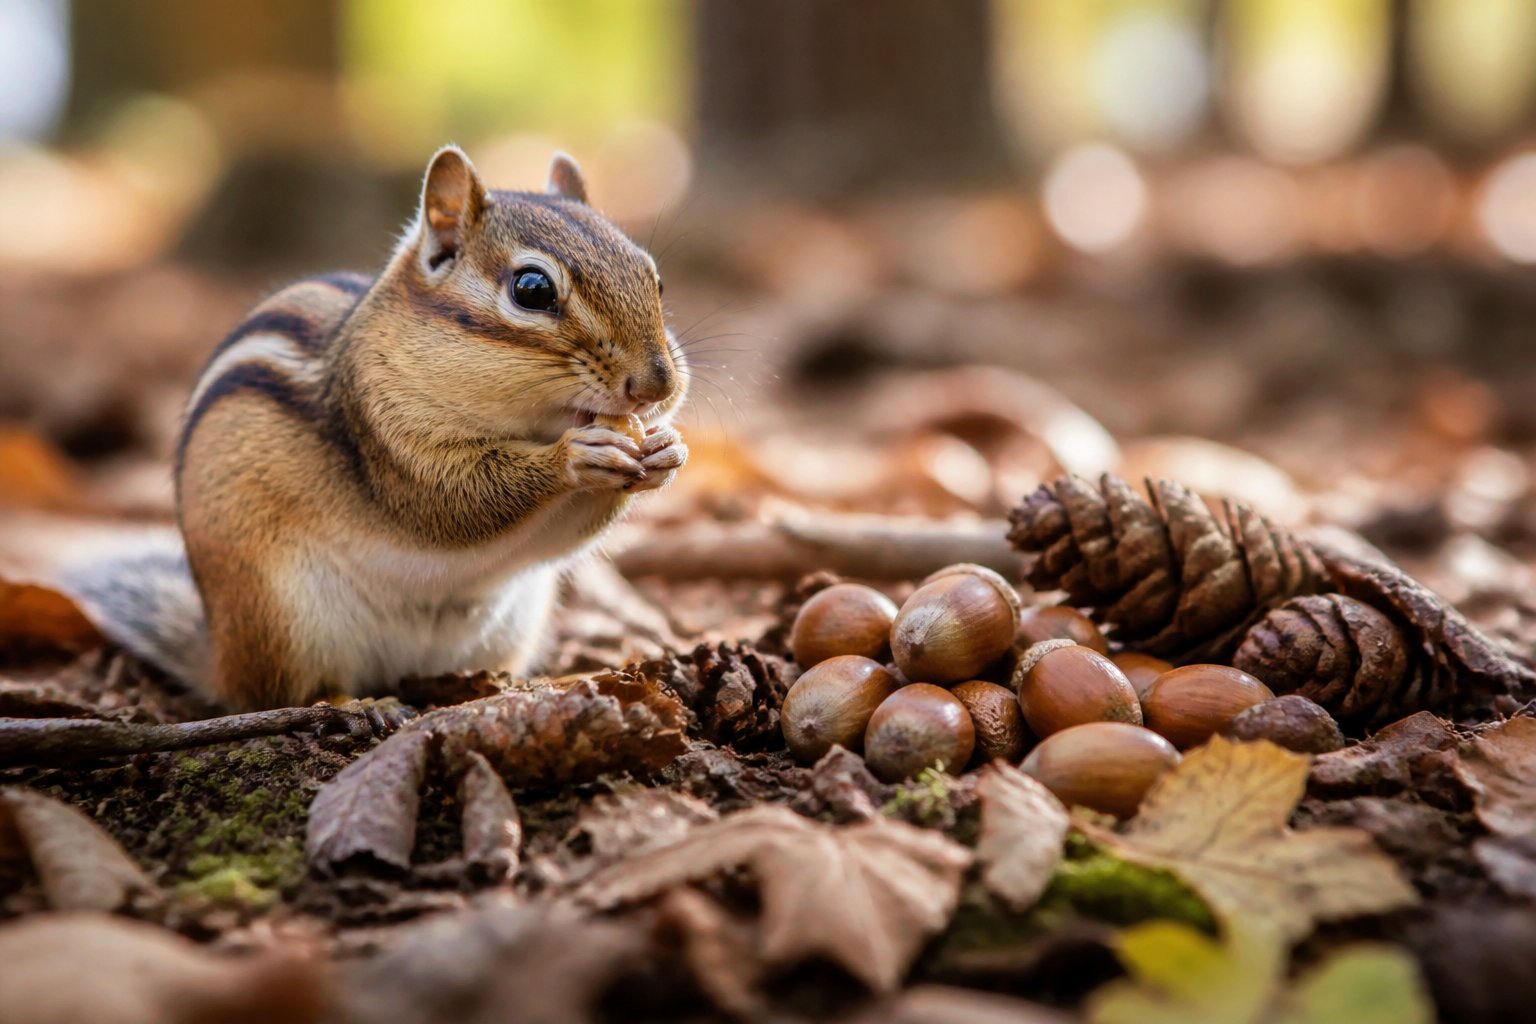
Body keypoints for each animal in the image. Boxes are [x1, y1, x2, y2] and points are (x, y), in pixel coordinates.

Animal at [65, 146, 688, 710]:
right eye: (532, 289)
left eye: (654, 278)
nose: (657, 385)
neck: (526, 422)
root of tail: (222, 656)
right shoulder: (385, 438)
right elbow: (456, 500)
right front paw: (576, 455)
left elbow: (566, 531)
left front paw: (666, 451)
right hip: (286, 619)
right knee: (286, 693)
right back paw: (354, 704)